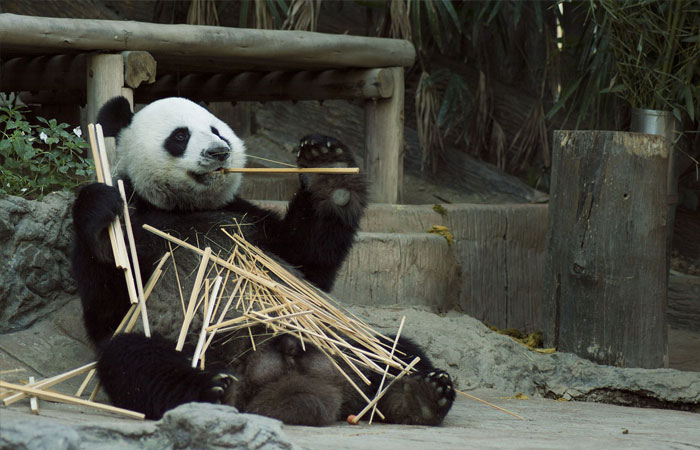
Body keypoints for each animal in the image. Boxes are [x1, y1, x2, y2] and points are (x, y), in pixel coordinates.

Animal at [71, 96, 454, 426]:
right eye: (180, 136)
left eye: (217, 130)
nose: (219, 152)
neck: (185, 207)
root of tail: (283, 380)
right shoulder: (141, 224)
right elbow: (109, 307)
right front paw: (100, 209)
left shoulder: (247, 220)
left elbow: (309, 260)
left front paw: (328, 166)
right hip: (198, 346)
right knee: (134, 360)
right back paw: (213, 390)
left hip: (338, 334)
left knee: (393, 349)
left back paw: (419, 394)